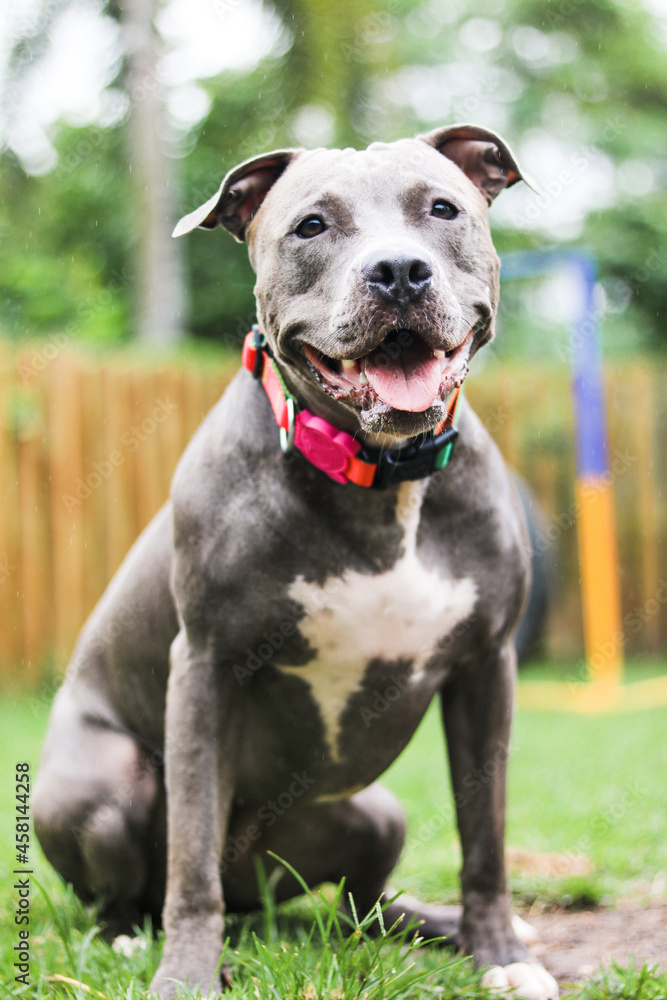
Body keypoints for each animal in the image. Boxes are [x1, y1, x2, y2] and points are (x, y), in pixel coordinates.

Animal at [35, 125, 560, 1000]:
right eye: (310, 226)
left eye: (441, 209)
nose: (397, 270)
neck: (380, 476)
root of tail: (257, 900)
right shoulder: (205, 668)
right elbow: (189, 858)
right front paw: (186, 975)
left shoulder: (486, 670)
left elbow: (483, 833)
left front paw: (499, 953)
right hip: (97, 785)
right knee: (135, 890)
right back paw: (133, 940)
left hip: (375, 815)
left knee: (359, 907)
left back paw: (435, 926)